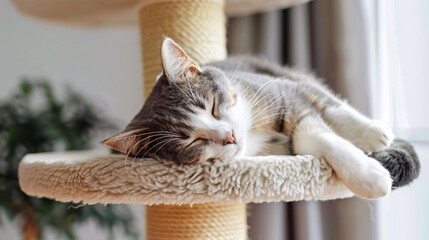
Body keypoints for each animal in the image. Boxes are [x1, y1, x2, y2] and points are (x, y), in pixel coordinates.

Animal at [103, 37, 394, 199]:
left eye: (212, 107)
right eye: (190, 142)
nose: (229, 136)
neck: (253, 132)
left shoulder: (279, 88)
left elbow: (327, 111)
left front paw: (371, 135)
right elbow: (307, 137)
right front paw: (369, 175)